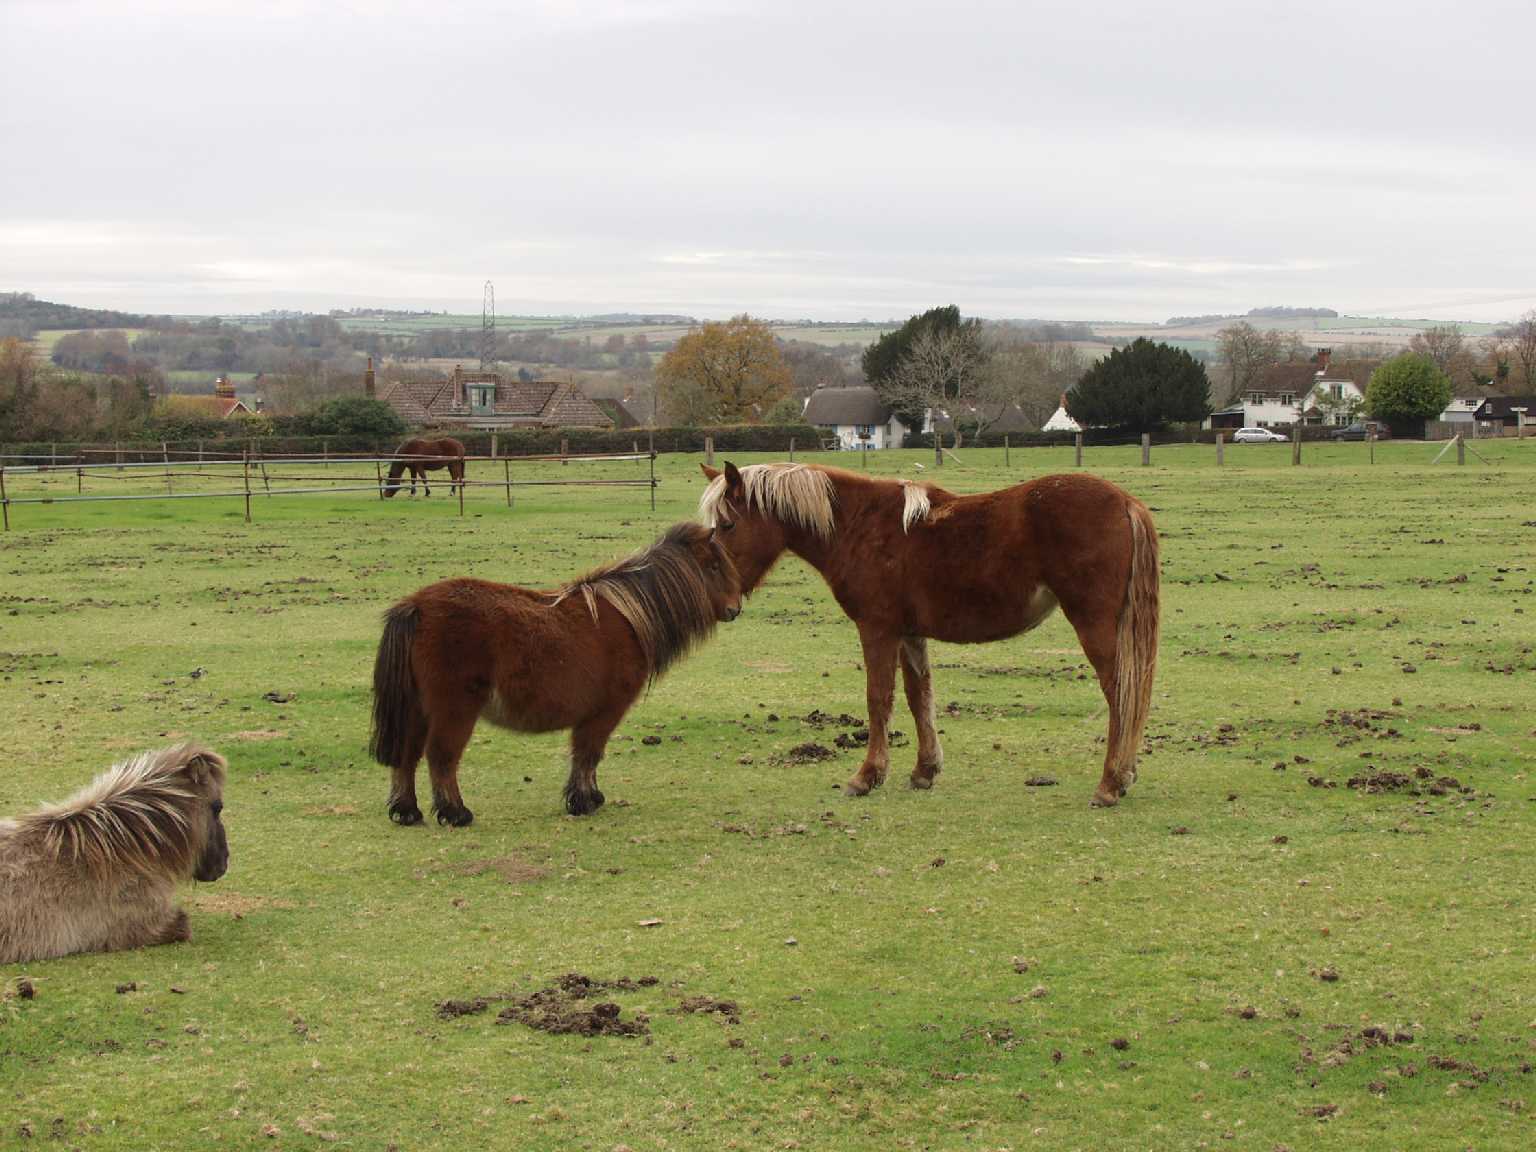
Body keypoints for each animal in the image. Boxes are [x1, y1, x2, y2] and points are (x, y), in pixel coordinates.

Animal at [370, 522, 742, 823]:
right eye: (712, 566)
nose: (735, 608)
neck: (629, 616)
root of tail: (416, 606)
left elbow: (586, 756)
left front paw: (589, 797)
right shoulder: (605, 711)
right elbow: (589, 753)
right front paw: (583, 801)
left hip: (417, 709)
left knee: (407, 756)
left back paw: (407, 811)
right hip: (453, 710)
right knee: (442, 757)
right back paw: (455, 813)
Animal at [701, 461, 1159, 808]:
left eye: (727, 524)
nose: (724, 606)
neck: (860, 526)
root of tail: (1126, 502)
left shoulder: (877, 630)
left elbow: (878, 699)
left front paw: (867, 775)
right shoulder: (909, 634)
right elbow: (918, 696)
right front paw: (925, 770)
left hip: (1094, 625)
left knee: (1120, 693)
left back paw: (1110, 782)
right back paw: (1124, 774)